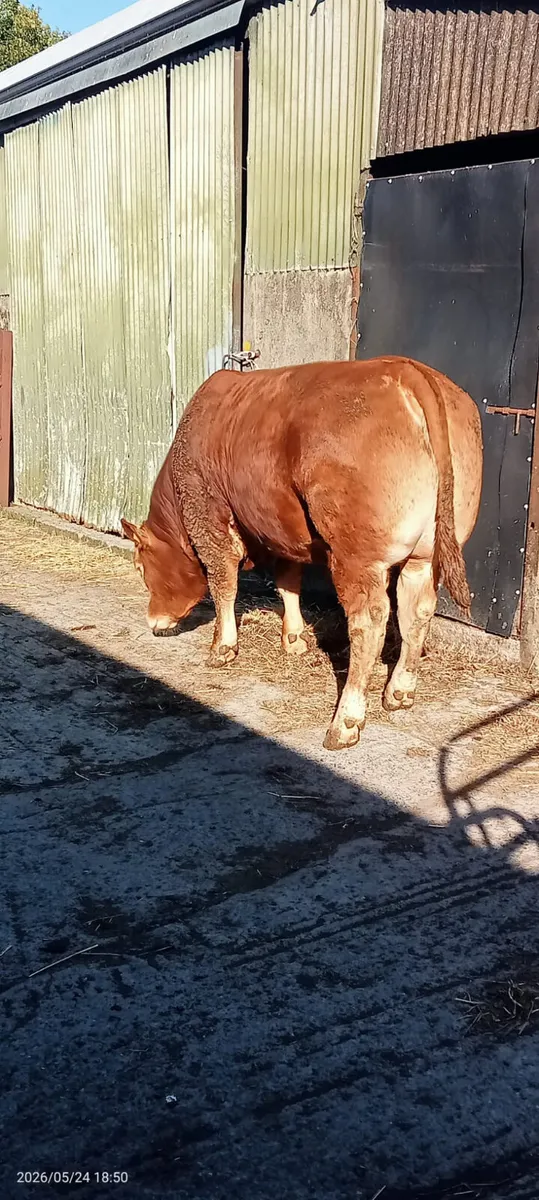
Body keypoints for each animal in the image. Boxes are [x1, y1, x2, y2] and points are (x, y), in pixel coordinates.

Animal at [121, 357, 483, 751]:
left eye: (141, 566)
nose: (153, 620)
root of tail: (407, 369)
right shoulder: (281, 527)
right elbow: (288, 581)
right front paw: (293, 639)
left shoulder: (208, 515)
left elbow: (223, 583)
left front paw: (222, 647)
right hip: (425, 554)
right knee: (416, 610)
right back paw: (399, 692)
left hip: (357, 556)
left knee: (369, 621)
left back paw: (345, 723)